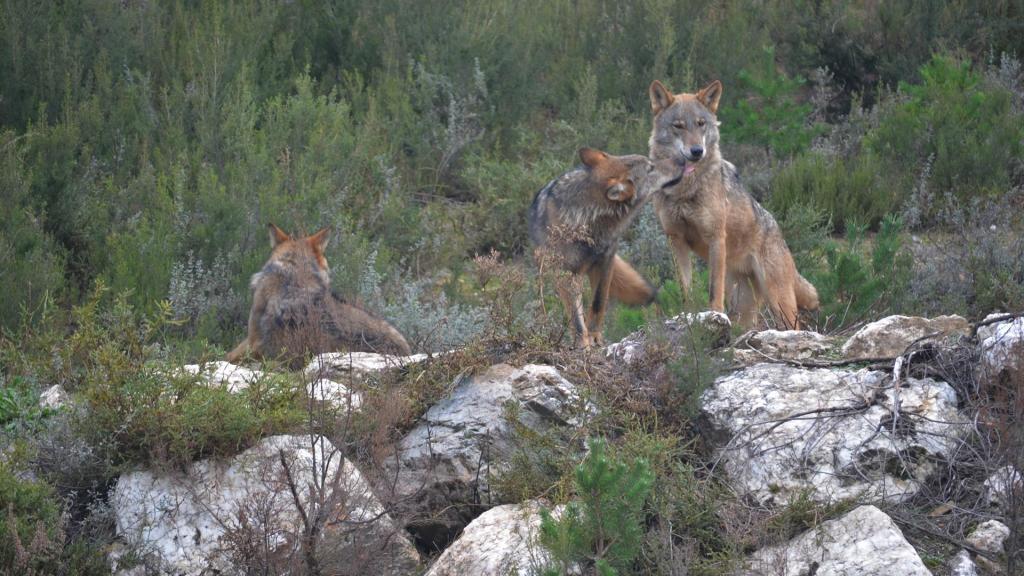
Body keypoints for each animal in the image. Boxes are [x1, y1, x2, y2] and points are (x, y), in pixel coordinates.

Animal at [529, 147, 683, 347]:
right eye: (650, 168)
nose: (682, 159)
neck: (587, 220)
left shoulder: (605, 262)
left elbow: (598, 303)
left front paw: (594, 336)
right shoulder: (564, 273)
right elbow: (576, 318)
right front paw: (583, 343)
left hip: (634, 284)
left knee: (653, 297)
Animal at [648, 79, 818, 329]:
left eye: (701, 124)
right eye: (678, 126)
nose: (697, 151)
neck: (685, 189)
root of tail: (778, 231)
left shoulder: (715, 237)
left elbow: (713, 290)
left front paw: (714, 316)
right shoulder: (676, 241)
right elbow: (685, 290)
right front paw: (687, 318)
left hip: (778, 302)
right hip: (744, 306)